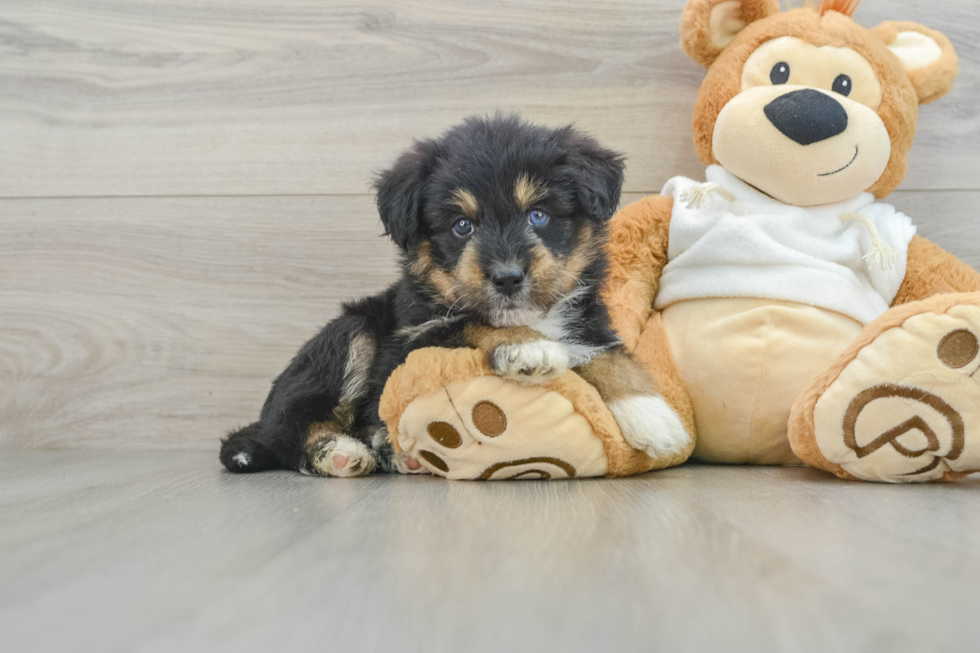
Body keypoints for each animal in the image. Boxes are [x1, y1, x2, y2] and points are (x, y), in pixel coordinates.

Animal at [220, 114, 688, 476]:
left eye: (538, 215)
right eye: (462, 226)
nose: (507, 278)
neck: (531, 314)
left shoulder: (588, 319)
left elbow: (613, 357)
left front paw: (656, 417)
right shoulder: (415, 337)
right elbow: (473, 322)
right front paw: (528, 348)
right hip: (351, 334)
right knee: (290, 426)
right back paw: (342, 452)